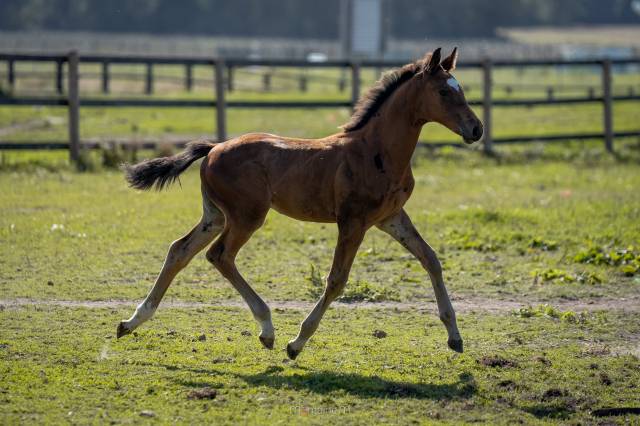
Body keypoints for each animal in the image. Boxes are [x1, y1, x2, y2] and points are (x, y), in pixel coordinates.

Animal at [117, 47, 482, 360]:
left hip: (216, 215)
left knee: (180, 249)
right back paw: (267, 329)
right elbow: (336, 280)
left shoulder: (391, 217)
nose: (476, 129)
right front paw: (297, 343)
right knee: (219, 255)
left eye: (460, 89)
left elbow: (430, 259)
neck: (377, 150)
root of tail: (214, 147)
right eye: (444, 92)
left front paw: (455, 337)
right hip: (247, 215)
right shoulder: (353, 221)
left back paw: (131, 322)